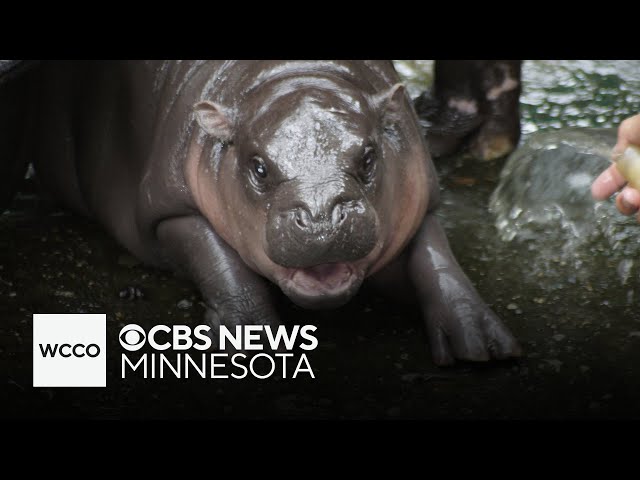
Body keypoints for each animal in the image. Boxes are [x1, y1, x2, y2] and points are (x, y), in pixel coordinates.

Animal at [6, 61, 520, 368]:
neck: (295, 76)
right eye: (258, 166)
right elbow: (221, 265)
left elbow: (437, 259)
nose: (321, 216)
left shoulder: (419, 196)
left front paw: (482, 346)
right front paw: (249, 345)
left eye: (369, 157)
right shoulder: (171, 211)